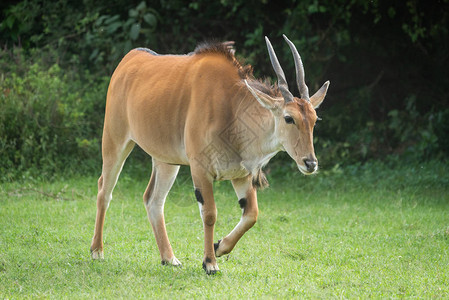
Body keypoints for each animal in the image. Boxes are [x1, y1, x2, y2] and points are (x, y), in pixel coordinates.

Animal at [90, 34, 328, 274]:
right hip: (115, 143)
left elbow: (251, 214)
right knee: (104, 190)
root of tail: (129, 58)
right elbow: (210, 213)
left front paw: (219, 246)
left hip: (166, 161)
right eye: (289, 118)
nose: (310, 163)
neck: (232, 106)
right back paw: (97, 251)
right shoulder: (200, 169)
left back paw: (169, 258)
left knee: (153, 199)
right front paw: (210, 262)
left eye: (315, 120)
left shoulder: (241, 175)